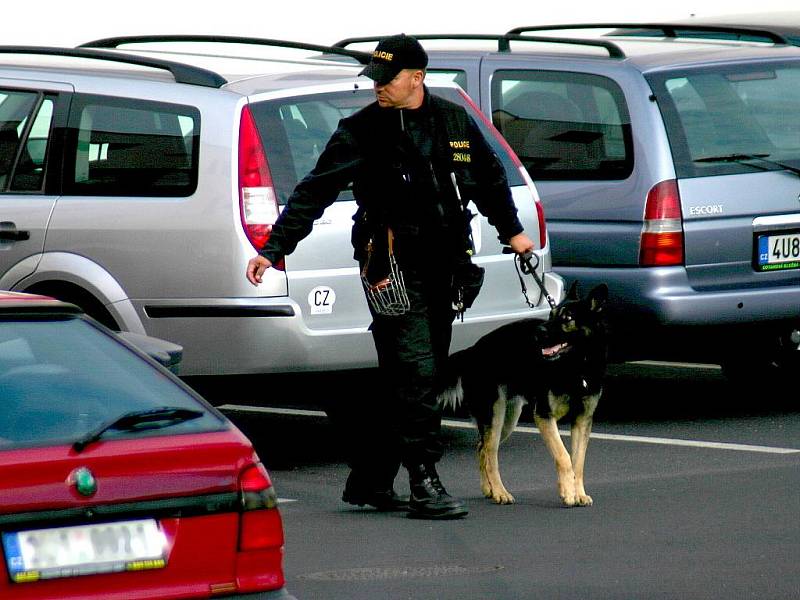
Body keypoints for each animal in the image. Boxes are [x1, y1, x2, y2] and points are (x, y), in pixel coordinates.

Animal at [438, 284, 608, 506]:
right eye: (551, 315)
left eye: (567, 318)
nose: (539, 332)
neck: (577, 367)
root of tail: (472, 350)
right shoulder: (544, 417)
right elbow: (564, 457)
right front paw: (568, 493)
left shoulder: (582, 421)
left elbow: (578, 462)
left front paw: (578, 492)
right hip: (496, 416)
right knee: (490, 454)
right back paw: (500, 492)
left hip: (508, 421)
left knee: (482, 447)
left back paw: (489, 489)